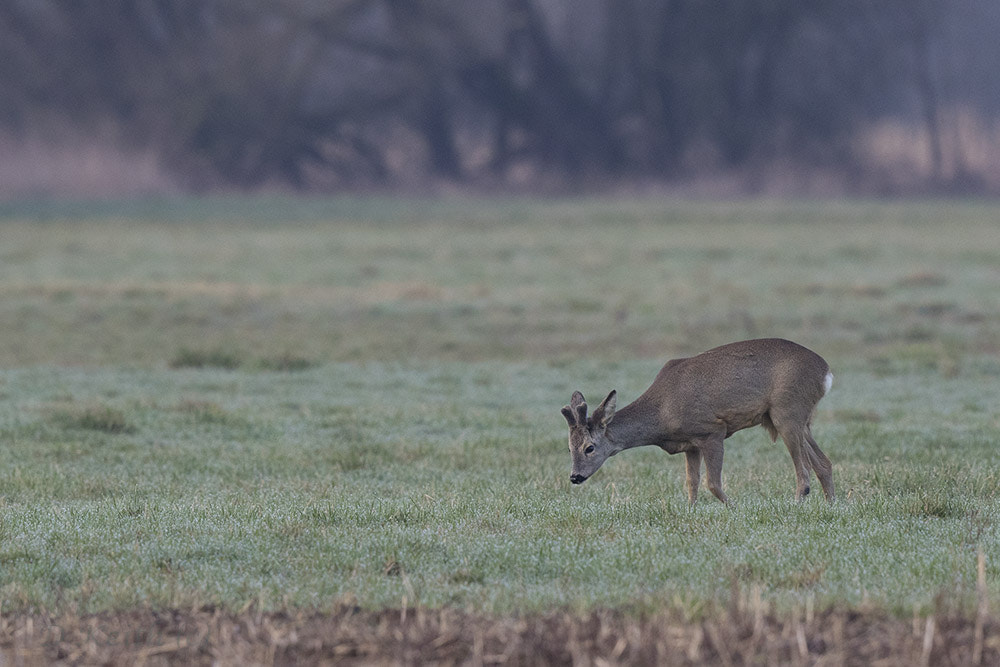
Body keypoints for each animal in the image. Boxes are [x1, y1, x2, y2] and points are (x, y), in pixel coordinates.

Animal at [564, 340, 836, 506]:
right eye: (568, 448)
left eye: (589, 448)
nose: (575, 476)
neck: (662, 413)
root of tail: (826, 372)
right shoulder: (690, 444)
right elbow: (691, 483)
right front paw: (691, 510)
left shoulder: (712, 431)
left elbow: (712, 483)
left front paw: (735, 508)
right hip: (794, 419)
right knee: (824, 463)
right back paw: (831, 506)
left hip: (787, 410)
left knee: (804, 474)